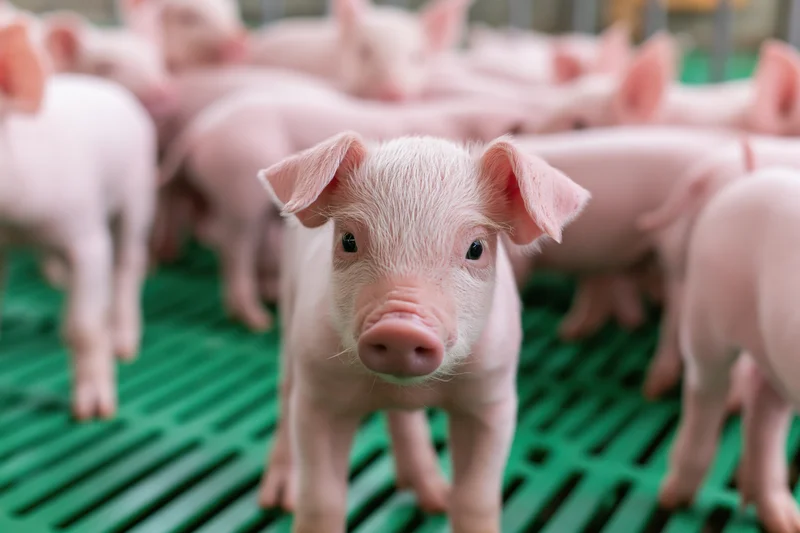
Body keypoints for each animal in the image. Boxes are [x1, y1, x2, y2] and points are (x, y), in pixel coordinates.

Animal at [0, 21, 157, 419]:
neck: (15, 227)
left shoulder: (85, 235)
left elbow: (84, 328)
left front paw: (92, 413)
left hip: (138, 190)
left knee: (128, 263)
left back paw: (123, 344)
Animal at [254, 131, 590, 532]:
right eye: (348, 240)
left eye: (476, 248)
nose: (400, 328)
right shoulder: (319, 391)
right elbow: (321, 498)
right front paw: (298, 507)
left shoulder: (492, 396)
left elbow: (476, 497)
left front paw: (450, 505)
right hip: (290, 314)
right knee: (285, 390)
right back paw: (277, 498)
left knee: (403, 419)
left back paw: (433, 498)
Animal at [657, 165, 800, 533]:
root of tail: (745, 182)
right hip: (704, 320)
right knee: (705, 394)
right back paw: (672, 497)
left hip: (774, 353)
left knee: (764, 412)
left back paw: (783, 520)